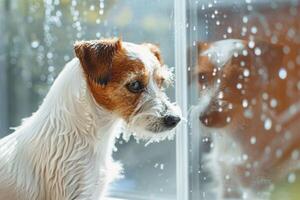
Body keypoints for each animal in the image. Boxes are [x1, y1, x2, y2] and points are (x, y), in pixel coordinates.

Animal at [196, 39, 300, 200]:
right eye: (202, 76)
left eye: (238, 78)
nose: (205, 117)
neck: (231, 137)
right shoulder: (225, 183)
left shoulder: (255, 188)